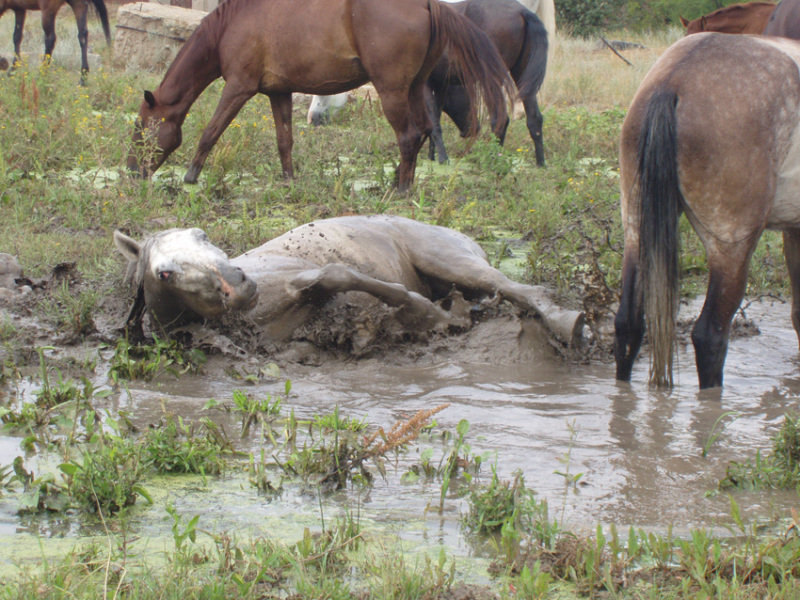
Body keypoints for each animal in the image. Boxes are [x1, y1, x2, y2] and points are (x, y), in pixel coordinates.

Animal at [115, 214, 584, 356]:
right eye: (165, 272)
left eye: (202, 234)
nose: (238, 283)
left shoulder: (304, 278)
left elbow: (339, 275)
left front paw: (426, 315)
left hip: (449, 259)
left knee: (516, 288)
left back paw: (570, 323)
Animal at [127, 0, 510, 191]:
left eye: (140, 129)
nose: (132, 171)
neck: (230, 24)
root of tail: (429, 4)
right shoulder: (279, 92)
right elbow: (284, 140)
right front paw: (288, 180)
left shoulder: (238, 87)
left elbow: (211, 131)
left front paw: (191, 177)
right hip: (414, 87)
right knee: (425, 131)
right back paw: (405, 183)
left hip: (392, 91)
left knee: (409, 135)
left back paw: (400, 190)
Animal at [424, 0, 552, 164]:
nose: (470, 129)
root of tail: (523, 12)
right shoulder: (440, 84)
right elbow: (436, 117)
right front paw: (432, 157)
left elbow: (433, 122)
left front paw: (441, 159)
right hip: (521, 77)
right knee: (534, 119)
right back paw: (540, 164)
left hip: (494, 80)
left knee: (501, 120)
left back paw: (494, 159)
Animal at [616, 32, 800, 390]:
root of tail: (672, 82)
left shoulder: (794, 230)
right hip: (731, 249)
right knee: (709, 336)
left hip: (635, 230)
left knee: (628, 324)